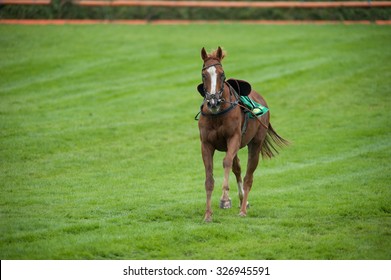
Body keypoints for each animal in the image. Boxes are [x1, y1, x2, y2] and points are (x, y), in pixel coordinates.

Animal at [199, 47, 288, 222]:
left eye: (222, 74)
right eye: (204, 75)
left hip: (256, 143)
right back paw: (242, 201)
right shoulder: (206, 144)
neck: (217, 114)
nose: (213, 101)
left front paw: (225, 199)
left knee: (248, 176)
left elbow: (226, 162)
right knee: (238, 168)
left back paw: (243, 209)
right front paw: (207, 214)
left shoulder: (234, 138)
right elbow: (209, 177)